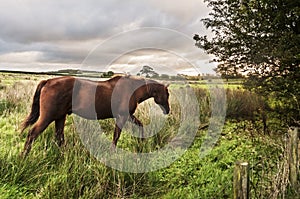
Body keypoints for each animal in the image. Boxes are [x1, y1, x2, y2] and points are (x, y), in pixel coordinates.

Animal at [21, 75, 170, 155]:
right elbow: (116, 135)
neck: (131, 89)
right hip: (47, 117)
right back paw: (24, 157)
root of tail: (48, 81)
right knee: (32, 134)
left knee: (59, 136)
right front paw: (112, 151)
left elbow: (140, 126)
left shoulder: (129, 116)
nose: (168, 110)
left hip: (60, 117)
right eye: (167, 94)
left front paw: (142, 142)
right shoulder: (122, 116)